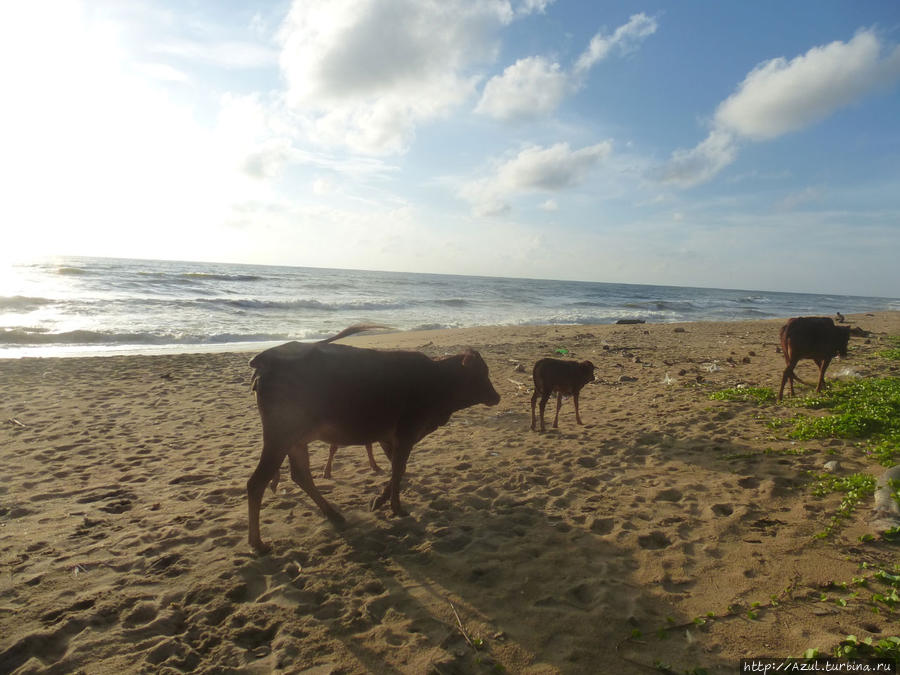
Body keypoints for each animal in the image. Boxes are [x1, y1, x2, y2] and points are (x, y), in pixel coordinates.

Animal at [246, 324, 500, 552]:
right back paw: (258, 543)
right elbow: (398, 471)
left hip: (295, 440)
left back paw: (334, 515)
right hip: (279, 437)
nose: (496, 397)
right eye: (481, 373)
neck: (438, 381)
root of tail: (267, 359)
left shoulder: (390, 439)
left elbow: (399, 470)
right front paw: (396, 508)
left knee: (301, 476)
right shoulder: (405, 435)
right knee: (257, 483)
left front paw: (380, 501)